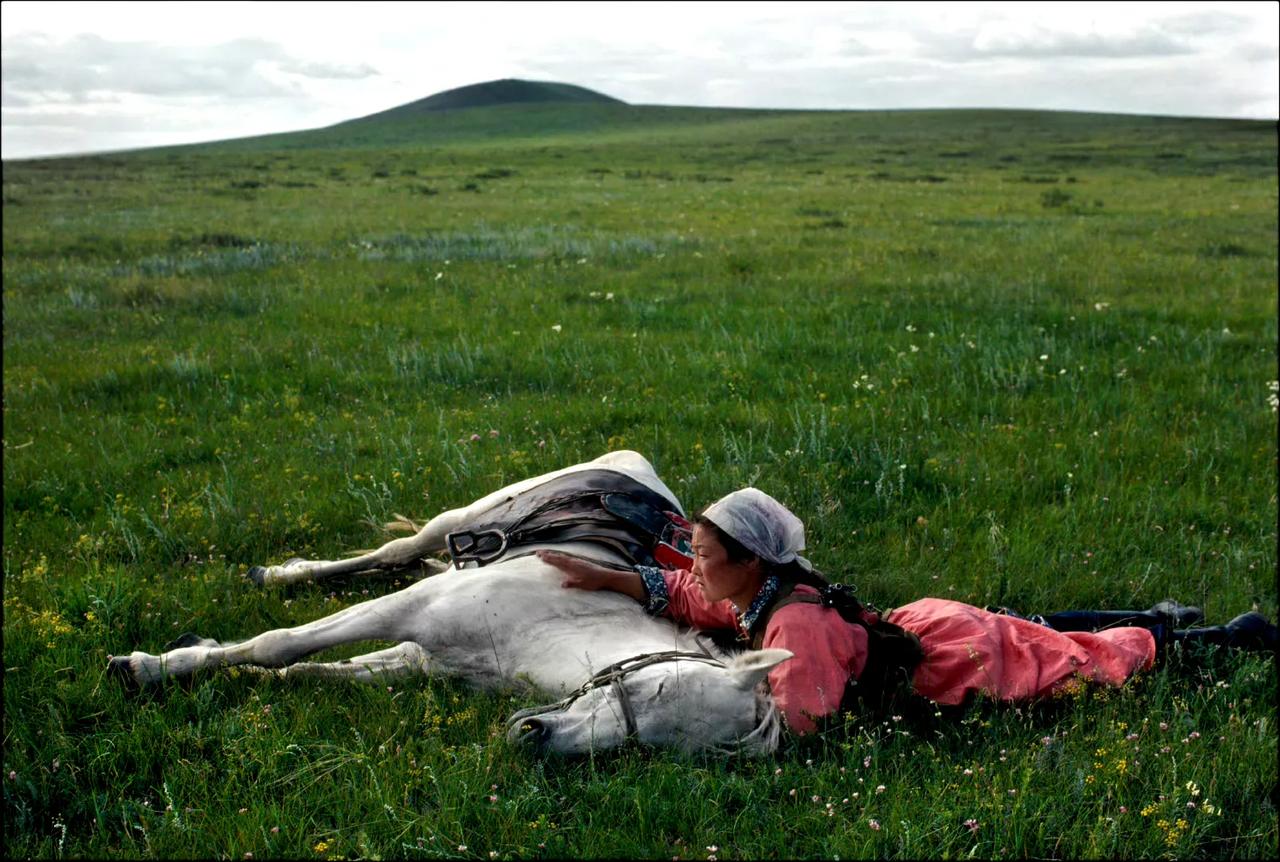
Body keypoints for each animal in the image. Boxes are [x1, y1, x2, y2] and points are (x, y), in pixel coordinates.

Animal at [110, 450, 788, 753]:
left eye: (651, 747)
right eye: (653, 689)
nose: (533, 736)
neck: (557, 624)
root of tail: (638, 470)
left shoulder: (423, 657)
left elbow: (316, 670)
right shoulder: (410, 609)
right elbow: (280, 645)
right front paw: (147, 667)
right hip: (460, 519)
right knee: (396, 550)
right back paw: (278, 574)